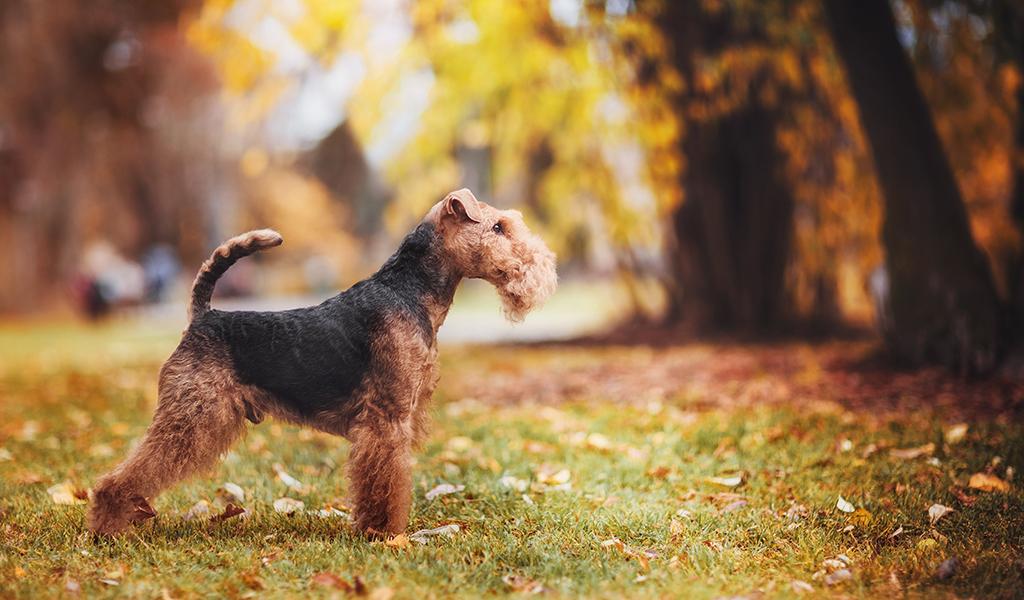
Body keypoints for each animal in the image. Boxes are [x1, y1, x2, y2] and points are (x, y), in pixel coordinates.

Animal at [88, 186, 557, 532]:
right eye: (498, 226)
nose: (544, 268)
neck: (408, 292)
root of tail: (202, 315)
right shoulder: (386, 418)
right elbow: (385, 481)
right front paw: (383, 533)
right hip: (192, 412)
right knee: (126, 472)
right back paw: (108, 525)